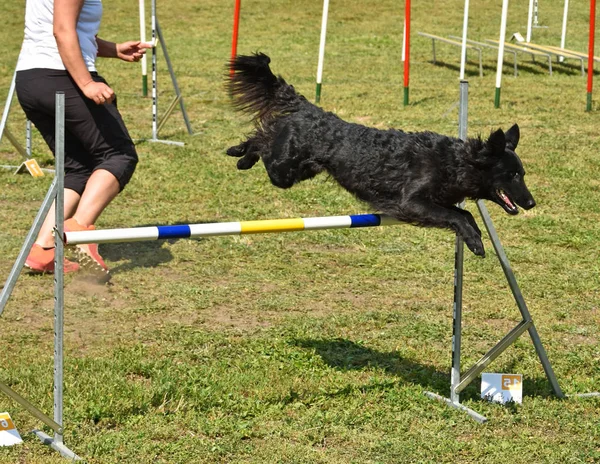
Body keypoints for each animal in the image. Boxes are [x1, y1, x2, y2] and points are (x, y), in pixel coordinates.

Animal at [225, 55, 536, 258]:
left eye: (522, 174)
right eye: (512, 175)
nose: (532, 203)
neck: (455, 161)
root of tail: (309, 109)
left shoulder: (437, 201)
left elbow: (465, 213)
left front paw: (475, 237)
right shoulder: (411, 203)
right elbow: (457, 216)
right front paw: (474, 241)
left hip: (300, 171)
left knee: (265, 134)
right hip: (283, 171)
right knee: (263, 139)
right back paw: (241, 156)